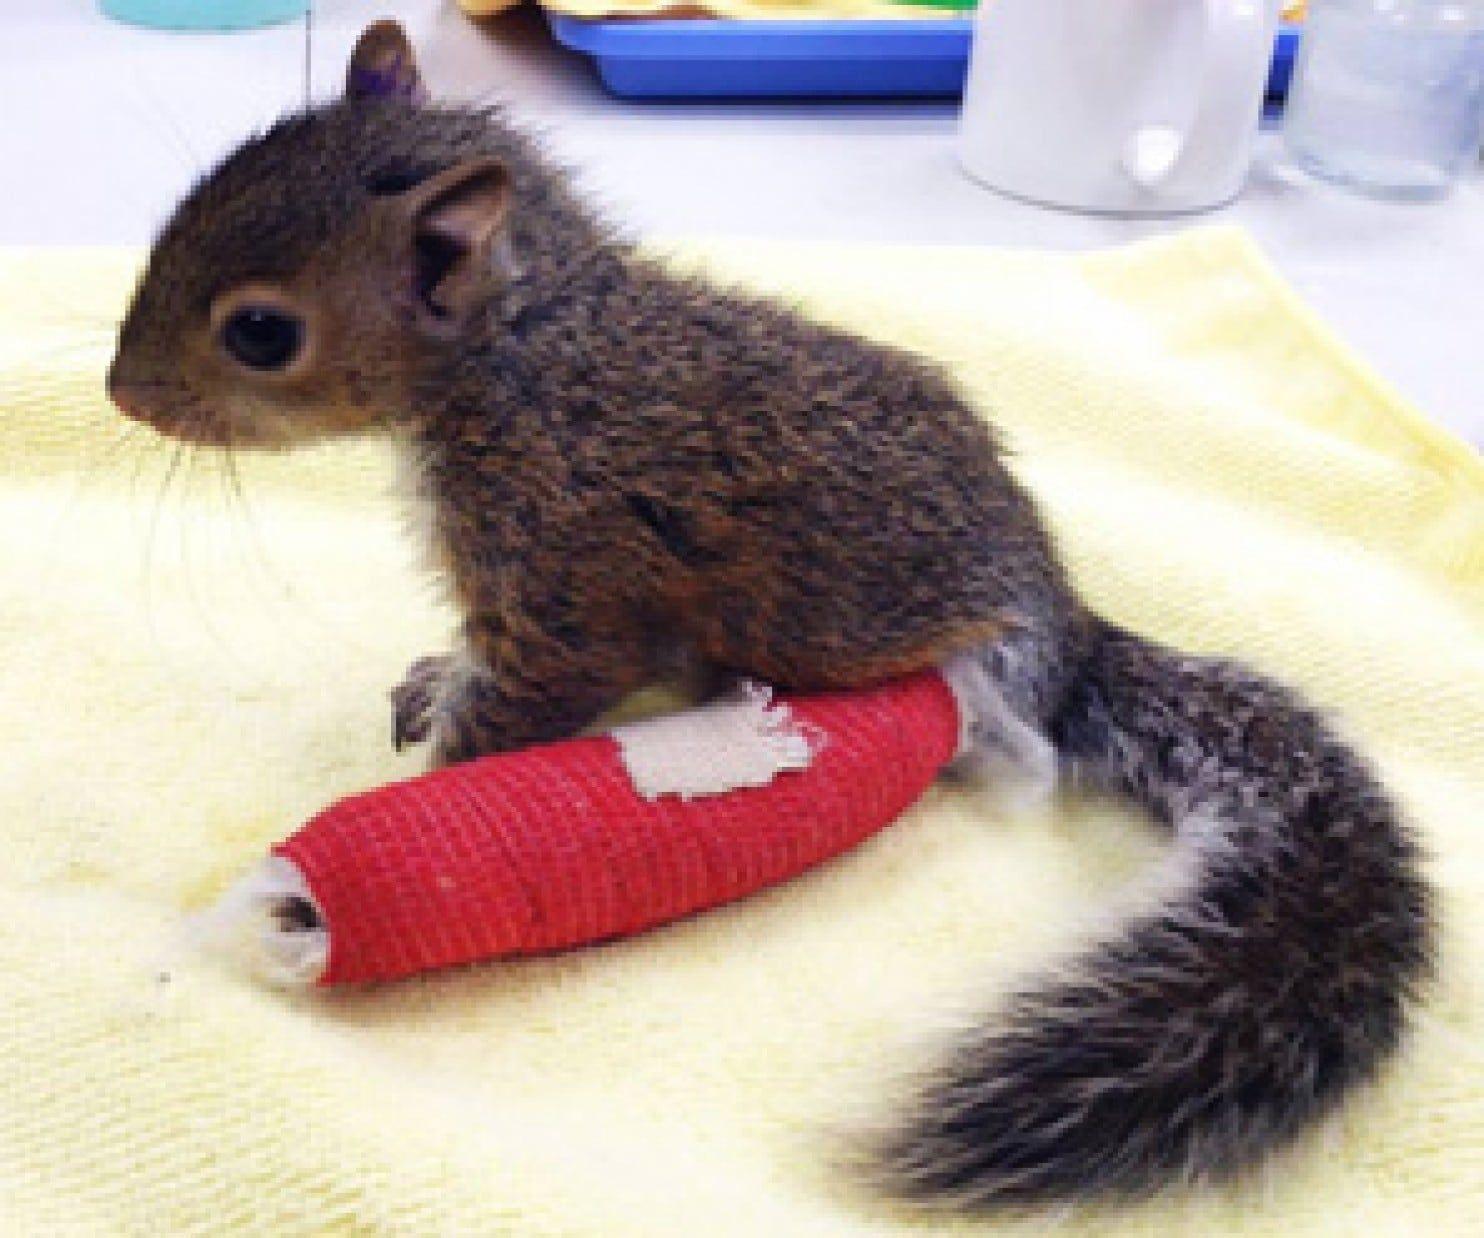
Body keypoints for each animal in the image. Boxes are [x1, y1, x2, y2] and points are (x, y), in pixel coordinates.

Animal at [107, 20, 1432, 1211]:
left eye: (261, 331)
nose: (119, 393)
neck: (525, 349)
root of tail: (1069, 626)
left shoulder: (566, 560)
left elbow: (526, 697)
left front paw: (423, 780)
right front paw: (430, 678)